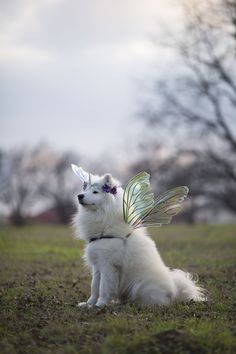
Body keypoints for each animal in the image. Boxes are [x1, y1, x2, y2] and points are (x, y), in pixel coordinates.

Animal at [72, 167, 206, 306]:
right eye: (85, 190)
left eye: (95, 192)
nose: (79, 195)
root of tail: (174, 292)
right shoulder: (97, 266)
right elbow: (94, 287)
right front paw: (89, 304)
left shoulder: (107, 265)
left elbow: (103, 288)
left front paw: (100, 304)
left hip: (141, 285)